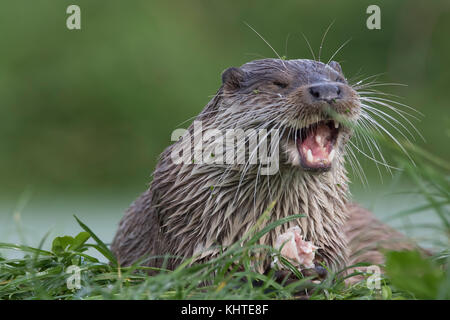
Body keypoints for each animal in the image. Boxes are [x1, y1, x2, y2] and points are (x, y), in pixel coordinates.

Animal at [110, 58, 416, 276]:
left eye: (339, 80)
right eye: (279, 84)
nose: (328, 90)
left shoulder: (329, 227)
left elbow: (338, 262)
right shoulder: (184, 226)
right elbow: (204, 270)